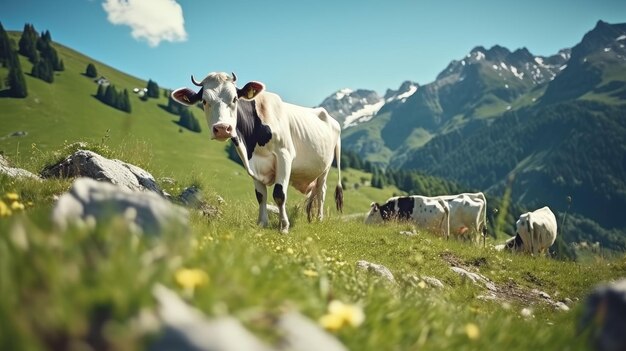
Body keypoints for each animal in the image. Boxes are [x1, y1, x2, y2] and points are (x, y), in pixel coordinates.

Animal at [171, 72, 342, 234]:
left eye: (234, 99)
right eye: (204, 101)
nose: (222, 128)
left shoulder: (284, 155)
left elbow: (279, 194)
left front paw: (284, 226)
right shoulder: (252, 164)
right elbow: (261, 196)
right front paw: (262, 223)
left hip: (326, 167)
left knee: (321, 190)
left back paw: (319, 219)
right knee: (314, 192)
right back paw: (310, 217)